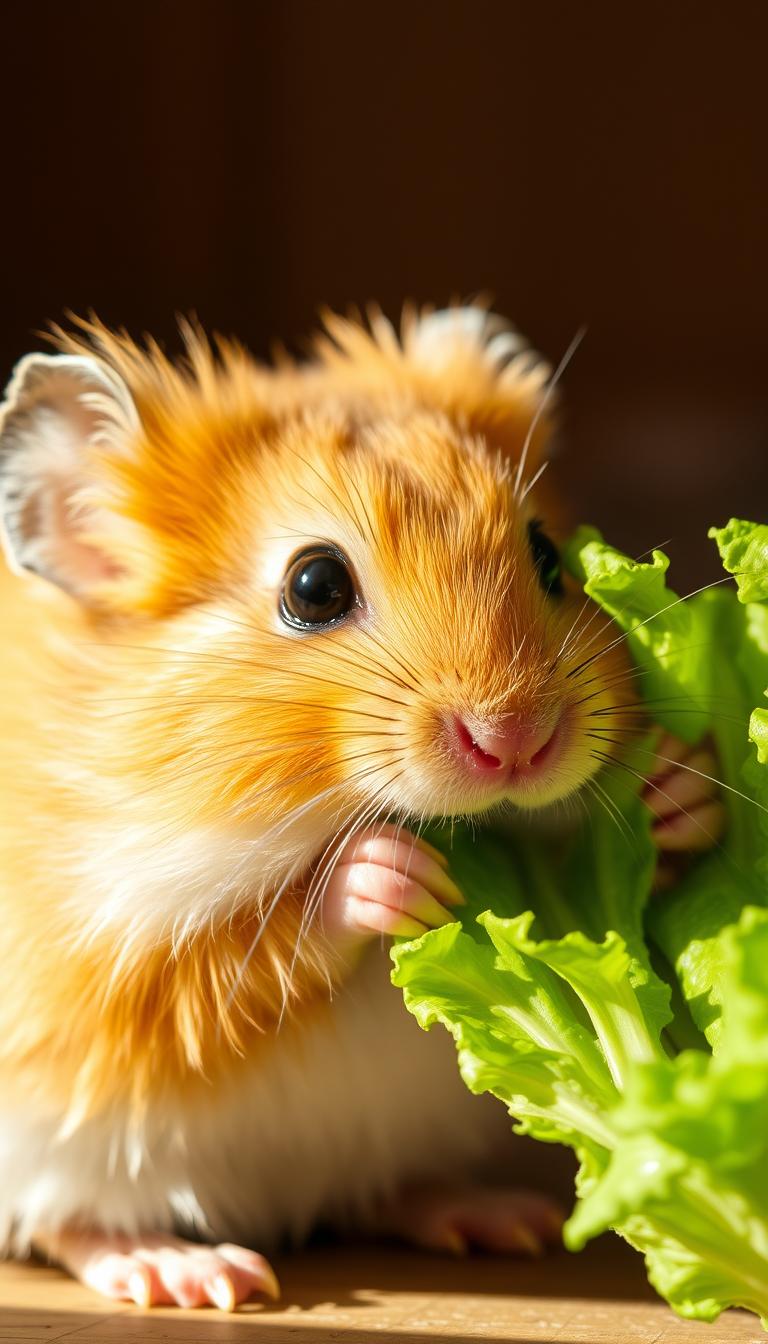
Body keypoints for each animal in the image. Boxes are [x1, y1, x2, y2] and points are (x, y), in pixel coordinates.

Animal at [0, 304, 722, 1309]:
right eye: (314, 586)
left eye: (548, 557)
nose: (517, 740)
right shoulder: (99, 961)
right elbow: (245, 947)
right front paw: (395, 872)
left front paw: (675, 786)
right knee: (73, 1224)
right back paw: (199, 1276)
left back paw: (503, 1221)